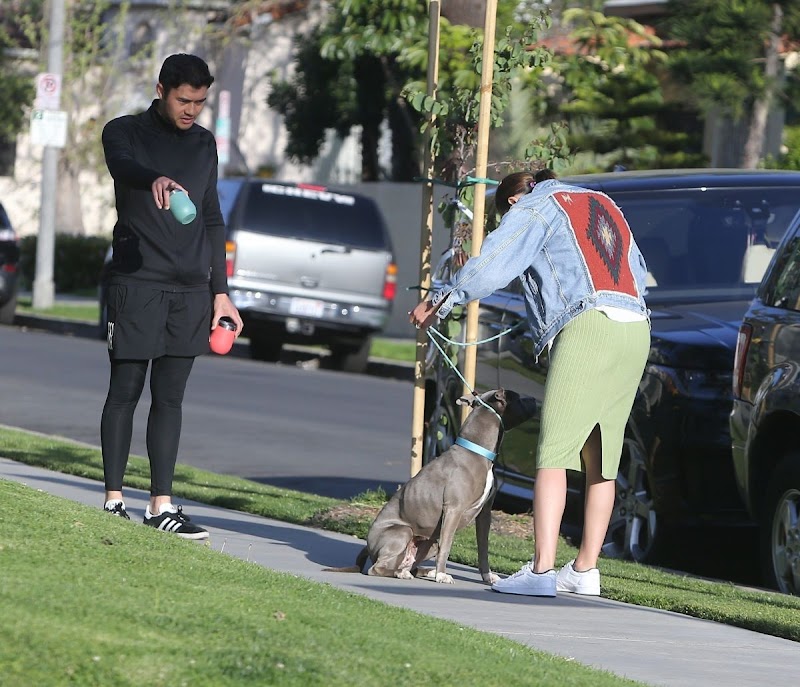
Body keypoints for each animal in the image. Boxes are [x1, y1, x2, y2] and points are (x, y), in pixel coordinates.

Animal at [324, 390, 536, 584]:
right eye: (518, 397)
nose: (534, 399)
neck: (478, 451)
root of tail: (368, 546)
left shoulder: (484, 514)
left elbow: (483, 548)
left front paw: (487, 576)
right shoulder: (453, 509)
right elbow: (447, 546)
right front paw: (442, 575)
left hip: (429, 541)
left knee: (409, 564)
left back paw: (421, 571)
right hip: (402, 532)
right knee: (377, 568)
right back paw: (404, 574)